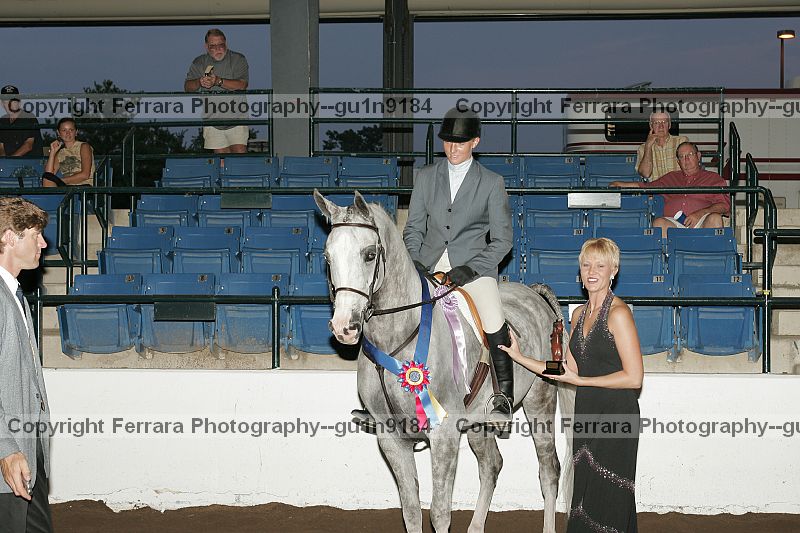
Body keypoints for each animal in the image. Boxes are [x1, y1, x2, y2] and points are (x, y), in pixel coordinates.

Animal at [314, 190, 575, 533]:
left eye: (369, 254)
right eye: (327, 258)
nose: (344, 327)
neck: (397, 340)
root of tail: (533, 294)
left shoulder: (445, 434)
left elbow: (439, 512)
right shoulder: (391, 437)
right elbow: (411, 510)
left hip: (539, 401)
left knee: (548, 469)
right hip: (479, 419)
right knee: (492, 465)